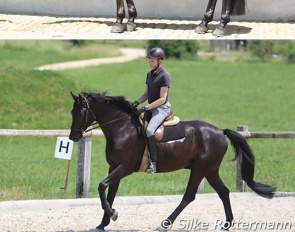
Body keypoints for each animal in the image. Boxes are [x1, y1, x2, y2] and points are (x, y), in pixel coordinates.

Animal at [69, 92, 278, 230]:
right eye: (72, 112)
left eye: (80, 112)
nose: (73, 137)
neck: (122, 128)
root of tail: (220, 131)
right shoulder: (113, 167)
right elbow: (109, 193)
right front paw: (103, 223)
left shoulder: (124, 168)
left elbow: (101, 186)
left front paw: (112, 214)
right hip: (210, 170)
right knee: (223, 192)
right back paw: (227, 224)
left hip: (200, 169)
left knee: (189, 196)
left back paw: (165, 223)